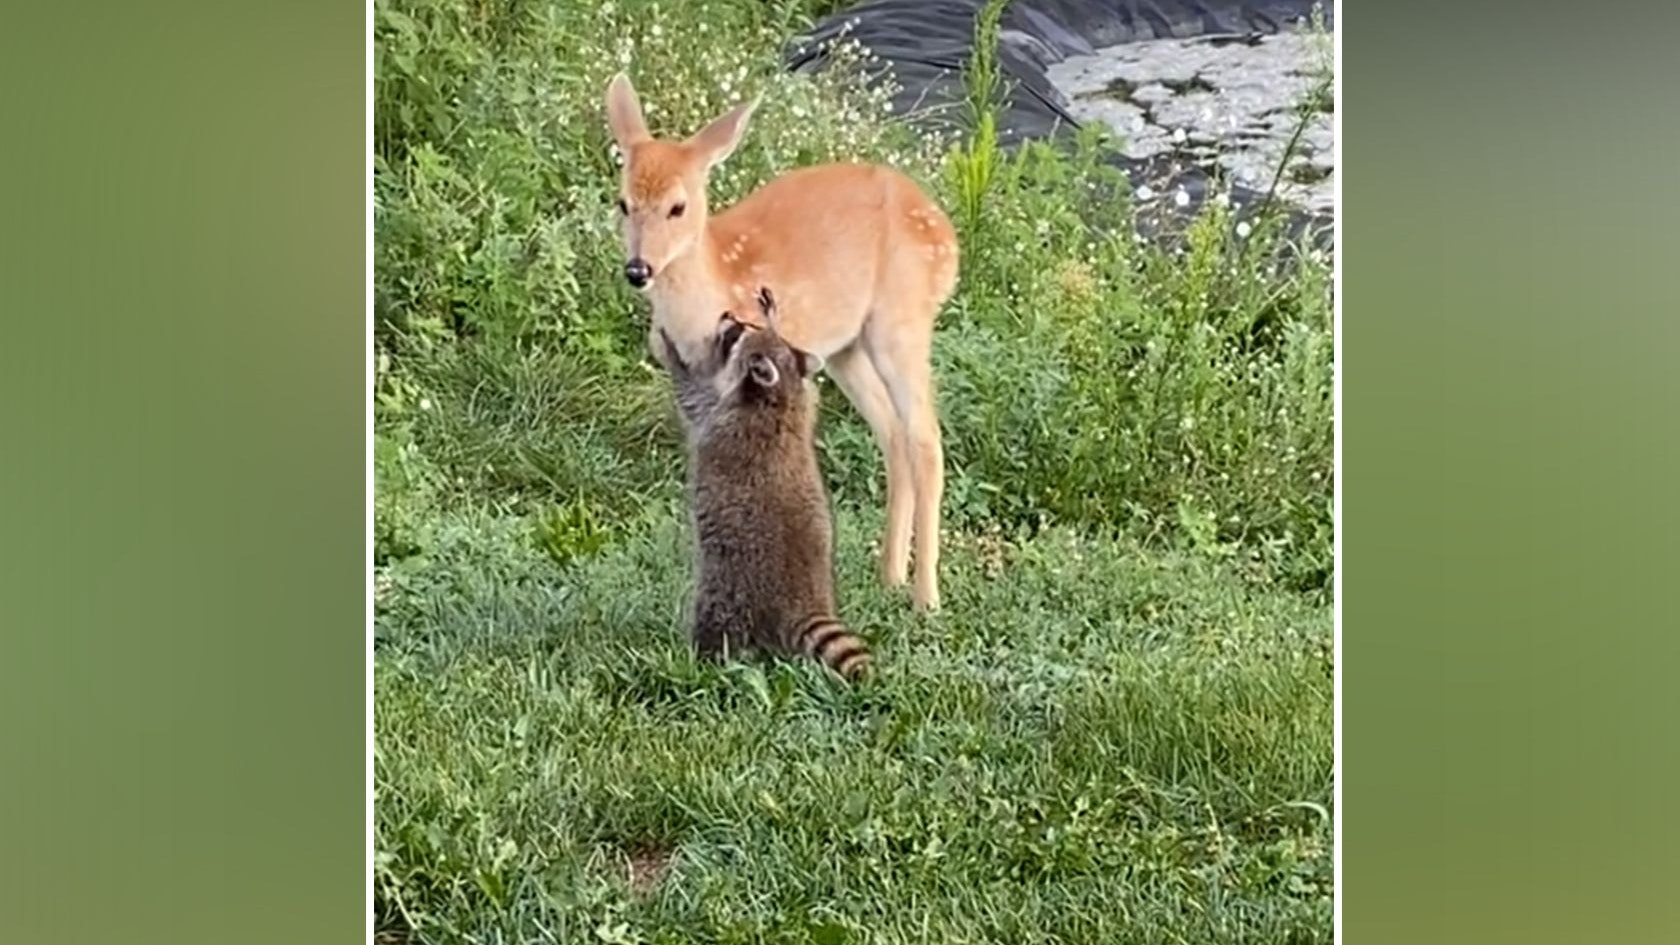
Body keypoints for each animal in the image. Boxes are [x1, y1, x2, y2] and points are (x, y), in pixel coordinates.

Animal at [603, 72, 959, 613]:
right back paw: (890, 578)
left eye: (677, 207)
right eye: (623, 203)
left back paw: (926, 599)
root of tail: (950, 238)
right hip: (846, 348)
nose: (638, 269)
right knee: (894, 434)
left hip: (901, 321)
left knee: (926, 439)